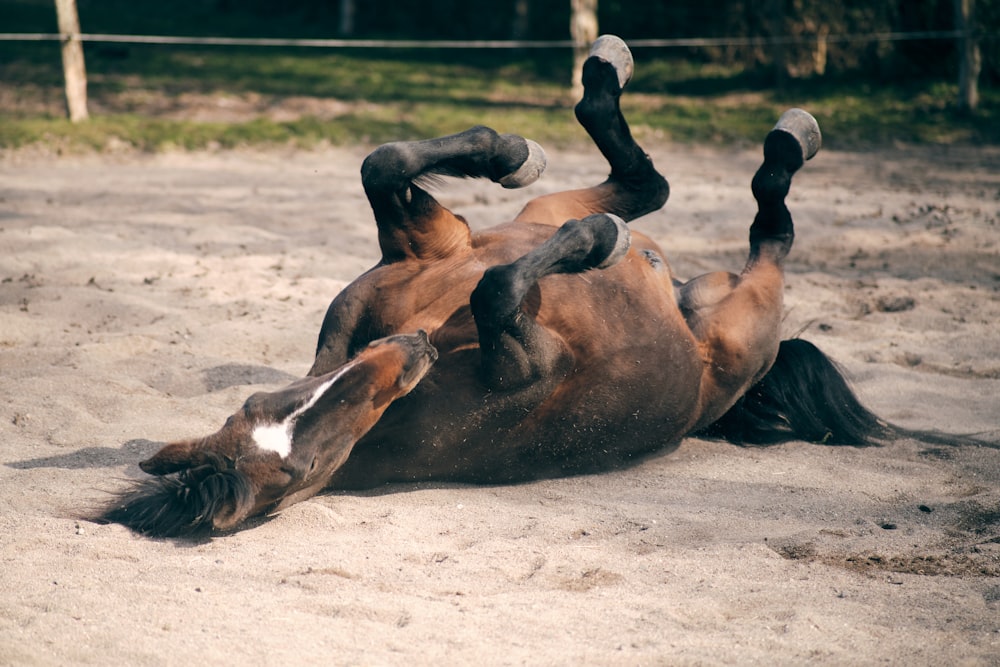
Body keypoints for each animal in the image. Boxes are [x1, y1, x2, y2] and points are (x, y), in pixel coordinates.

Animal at [101, 35, 892, 536]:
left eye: (263, 401)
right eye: (305, 468)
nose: (405, 352)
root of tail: (684, 306)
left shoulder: (429, 248)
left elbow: (384, 163)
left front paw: (508, 153)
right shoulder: (530, 355)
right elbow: (497, 291)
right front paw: (594, 241)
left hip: (543, 214)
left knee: (646, 184)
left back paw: (601, 91)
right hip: (741, 326)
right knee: (762, 233)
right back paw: (760, 155)